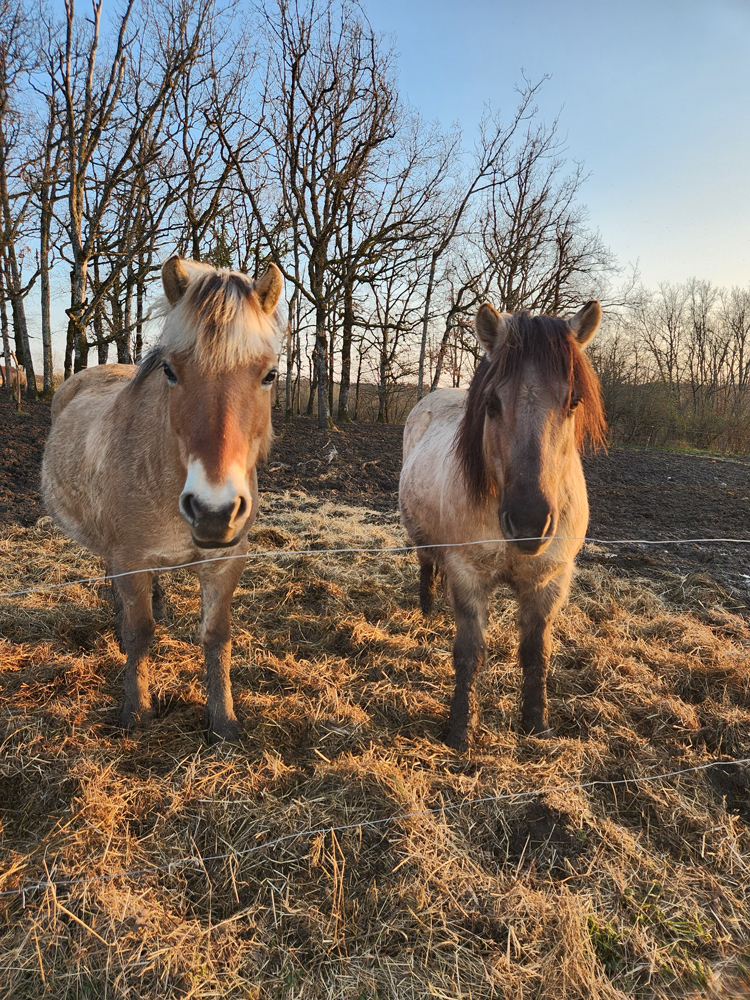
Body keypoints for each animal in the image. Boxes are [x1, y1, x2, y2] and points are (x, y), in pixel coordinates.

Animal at [41, 257, 285, 742]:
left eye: (269, 375)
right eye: (170, 371)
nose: (213, 512)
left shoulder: (227, 560)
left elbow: (217, 636)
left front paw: (224, 720)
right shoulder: (130, 557)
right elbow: (140, 632)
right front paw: (136, 711)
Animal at [399, 300, 606, 749]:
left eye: (573, 402)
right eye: (492, 404)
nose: (529, 521)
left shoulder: (548, 581)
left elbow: (536, 652)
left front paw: (536, 724)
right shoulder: (468, 576)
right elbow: (469, 652)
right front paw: (460, 729)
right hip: (422, 538)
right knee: (426, 565)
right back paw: (426, 610)